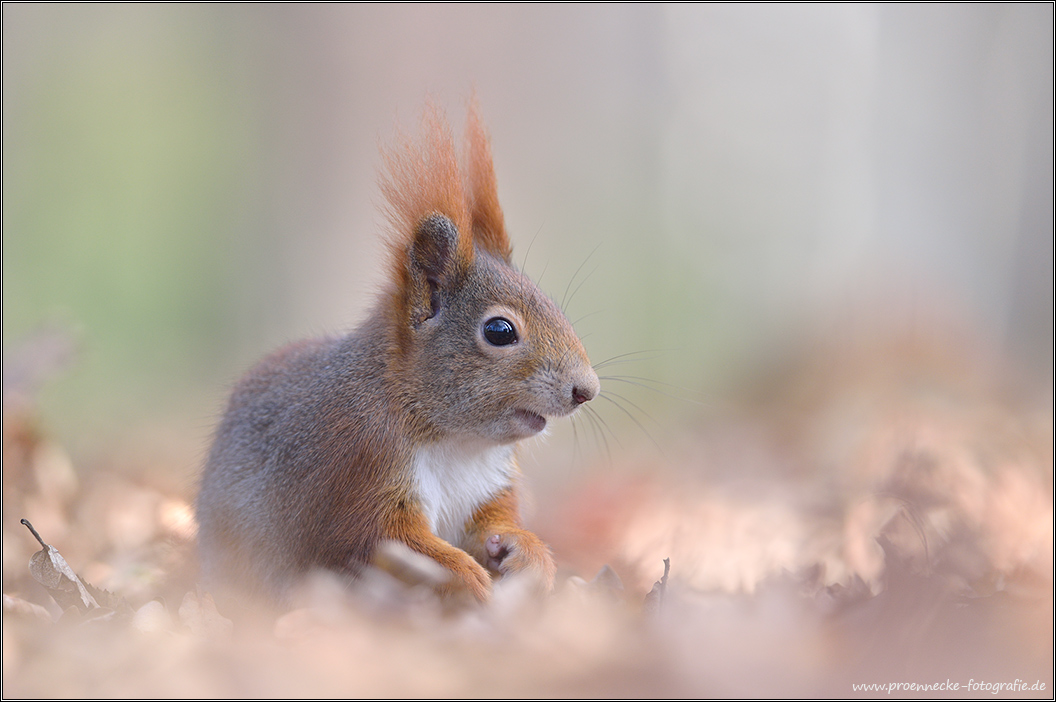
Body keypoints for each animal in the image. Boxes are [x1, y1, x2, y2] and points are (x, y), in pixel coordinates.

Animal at [194, 101, 599, 603]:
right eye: (500, 330)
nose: (586, 390)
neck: (454, 440)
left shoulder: (490, 488)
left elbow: (494, 523)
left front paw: (526, 555)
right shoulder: (357, 467)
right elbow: (380, 539)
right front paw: (467, 579)